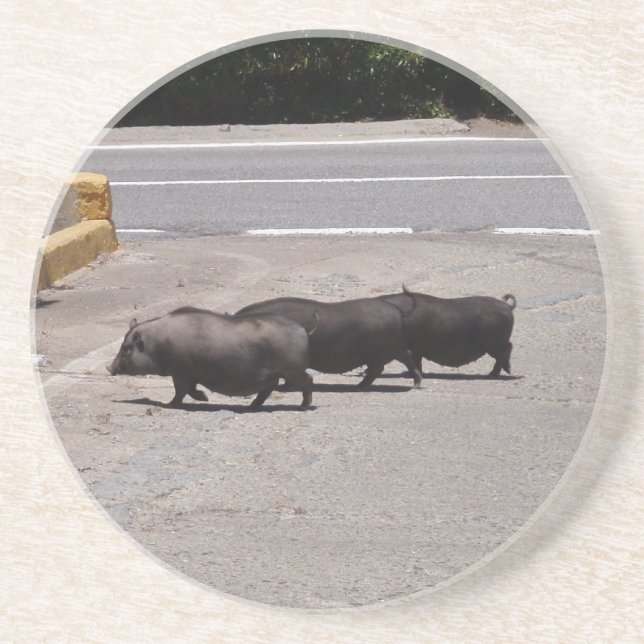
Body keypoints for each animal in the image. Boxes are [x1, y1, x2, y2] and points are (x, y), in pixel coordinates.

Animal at [107, 306, 314, 409]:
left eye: (126, 348)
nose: (109, 368)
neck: (157, 344)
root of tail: (303, 329)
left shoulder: (180, 371)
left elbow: (181, 390)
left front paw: (170, 404)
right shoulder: (187, 373)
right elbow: (189, 389)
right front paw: (205, 398)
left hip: (292, 369)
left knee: (308, 379)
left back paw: (304, 406)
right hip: (275, 374)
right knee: (267, 390)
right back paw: (252, 406)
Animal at [379, 288, 516, 377]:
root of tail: (506, 306)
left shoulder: (413, 348)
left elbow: (415, 361)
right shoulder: (416, 349)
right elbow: (417, 361)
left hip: (494, 344)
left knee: (506, 349)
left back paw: (493, 374)